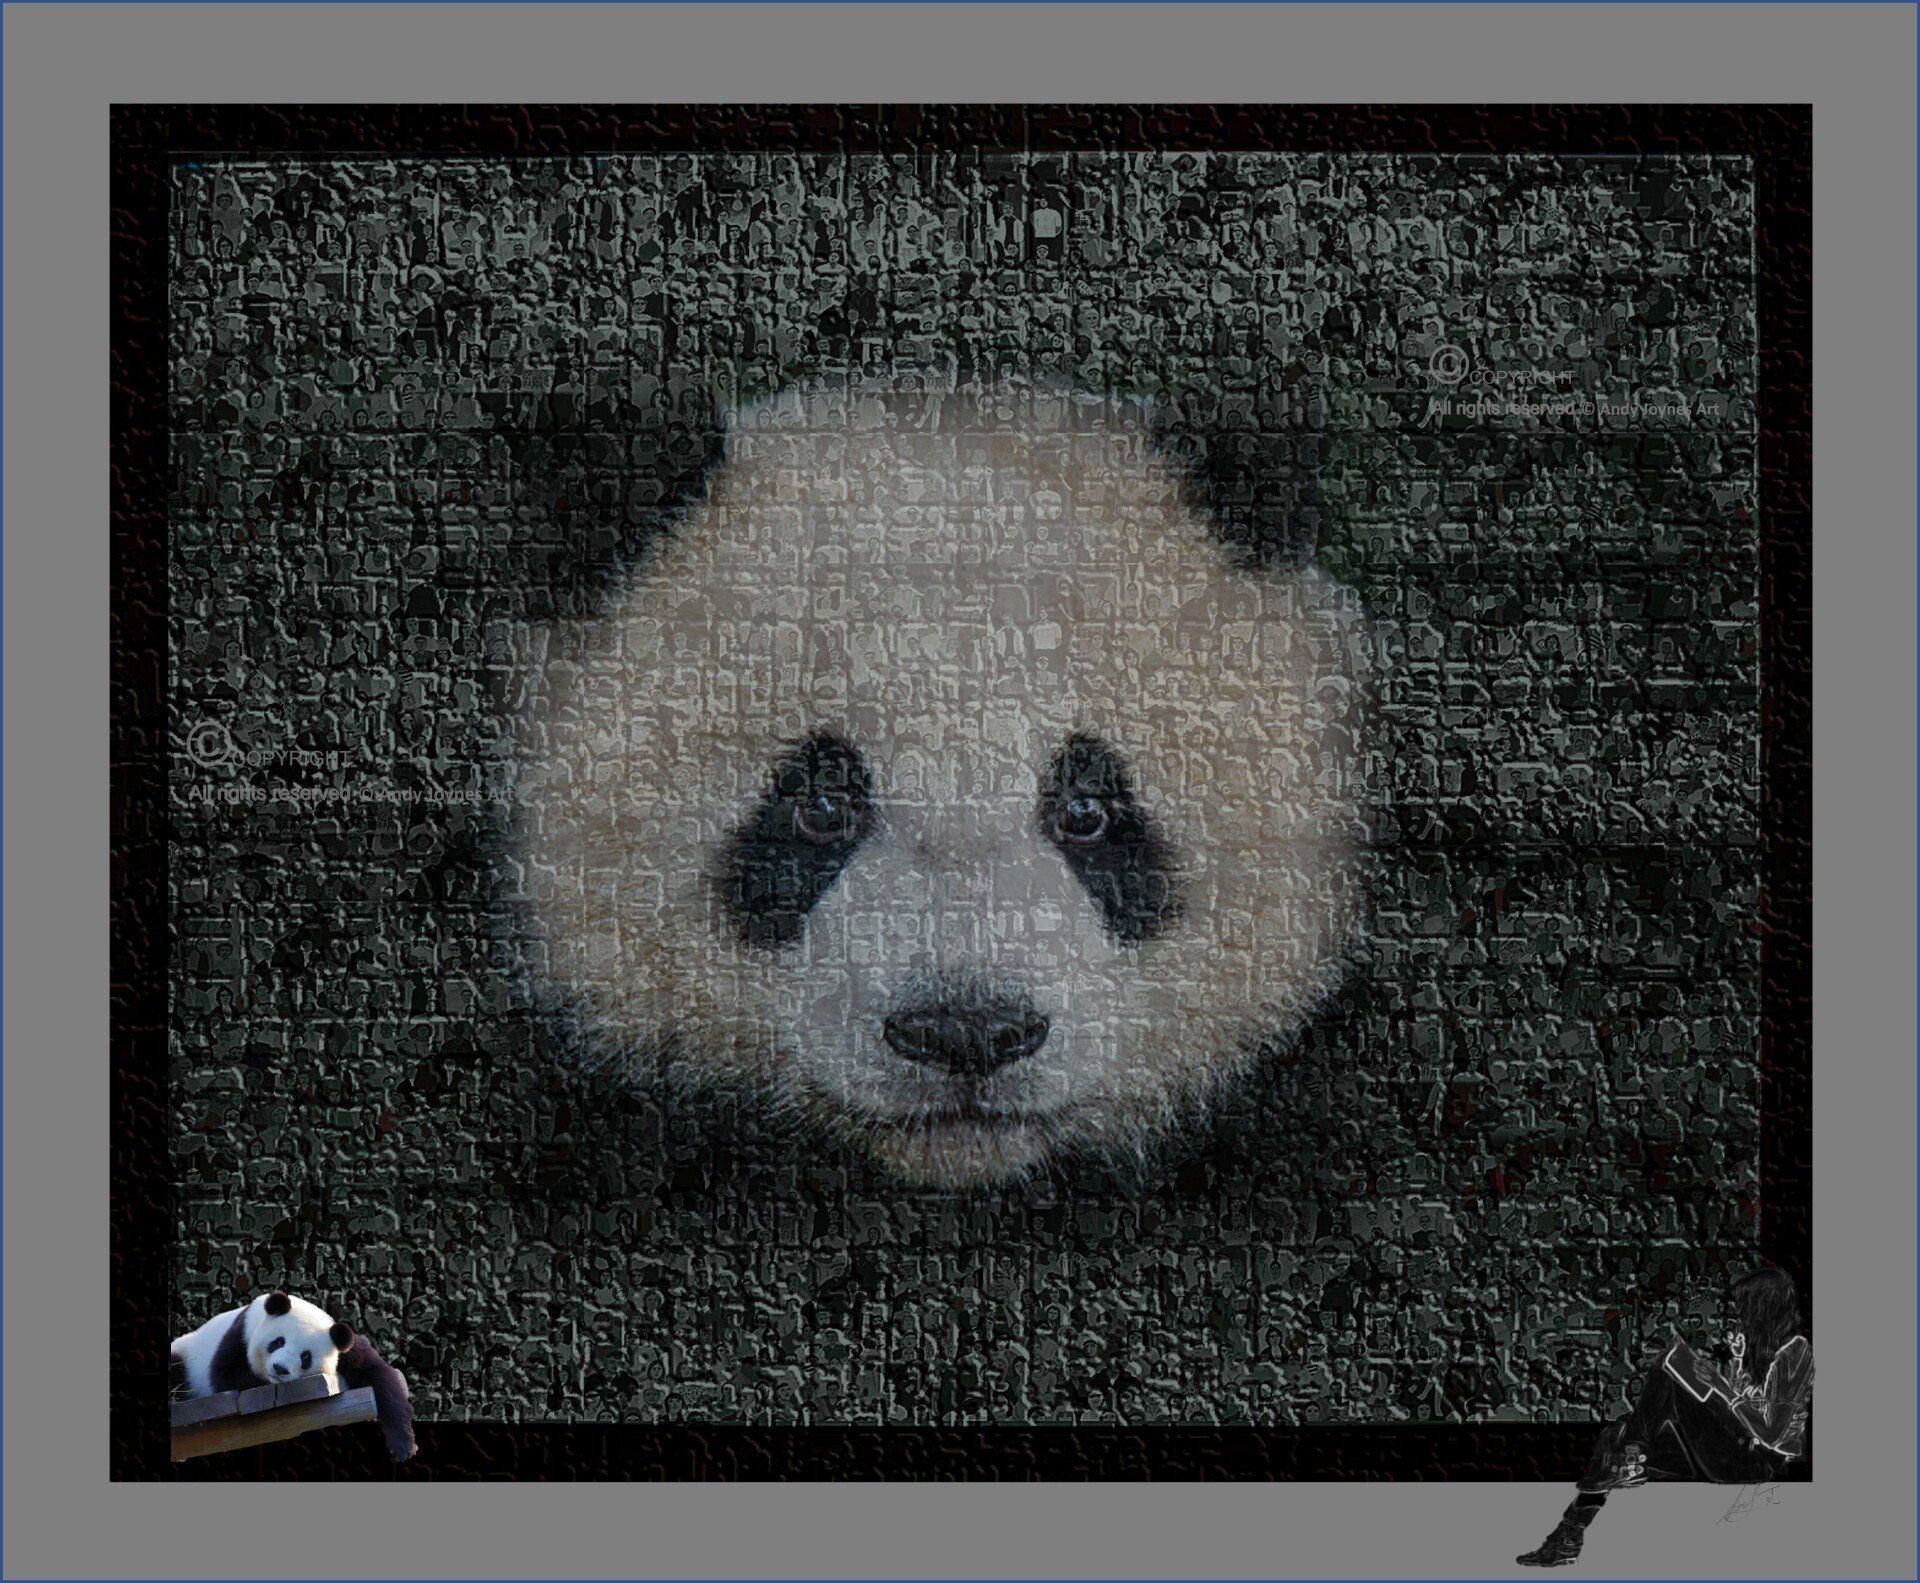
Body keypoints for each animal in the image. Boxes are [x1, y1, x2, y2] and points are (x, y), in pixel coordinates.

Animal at [170, 1290, 417, 1462]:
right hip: (186, 1356)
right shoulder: (241, 1333)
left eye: (305, 1356)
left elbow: (380, 1377)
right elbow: (226, 1374)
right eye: (278, 1341)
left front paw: (404, 1445)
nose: (280, 1368)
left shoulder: (345, 1348)